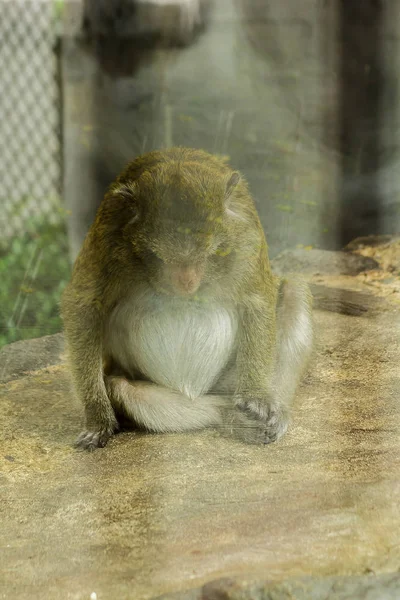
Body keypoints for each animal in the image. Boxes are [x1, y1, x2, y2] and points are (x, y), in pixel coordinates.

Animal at [61, 149, 314, 450]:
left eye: (212, 252)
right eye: (158, 257)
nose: (187, 283)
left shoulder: (245, 232)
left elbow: (257, 299)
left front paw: (257, 396)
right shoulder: (109, 232)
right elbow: (84, 305)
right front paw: (97, 417)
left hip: (228, 380)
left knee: (294, 290)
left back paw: (271, 411)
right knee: (124, 389)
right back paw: (228, 416)